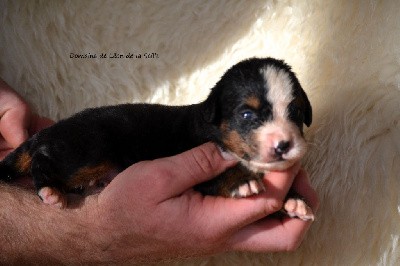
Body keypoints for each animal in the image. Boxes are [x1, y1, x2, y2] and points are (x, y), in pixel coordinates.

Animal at [0, 57, 312, 220]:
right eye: (247, 115)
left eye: (295, 111)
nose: (283, 145)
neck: (213, 126)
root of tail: (47, 133)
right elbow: (221, 175)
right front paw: (242, 181)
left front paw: (295, 201)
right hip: (87, 150)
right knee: (42, 162)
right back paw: (51, 191)